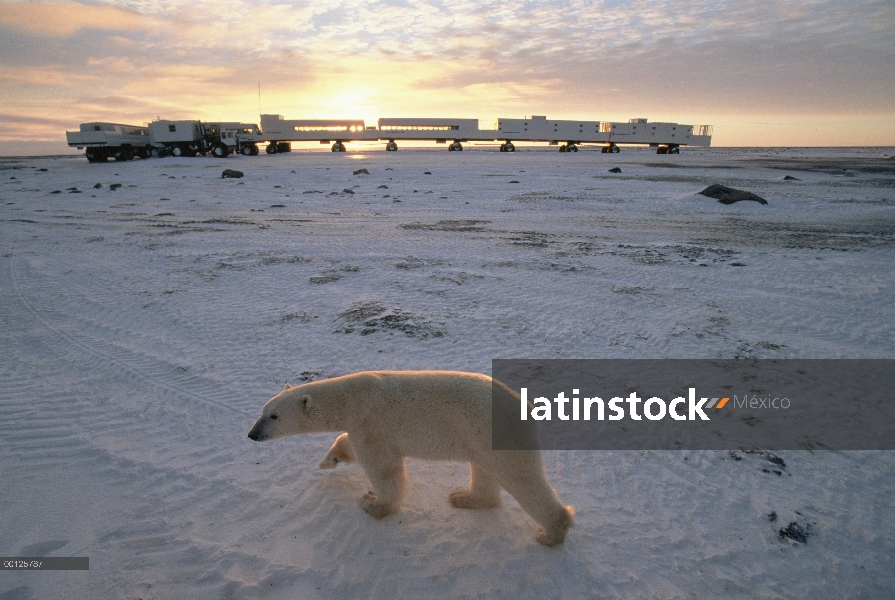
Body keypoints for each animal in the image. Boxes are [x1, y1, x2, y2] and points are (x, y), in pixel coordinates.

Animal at [247, 368, 576, 548]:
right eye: (262, 411)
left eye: (273, 416)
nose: (251, 434)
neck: (352, 396)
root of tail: (527, 407)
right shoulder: (361, 424)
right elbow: (348, 444)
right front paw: (328, 461)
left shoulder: (371, 421)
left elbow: (384, 468)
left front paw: (373, 504)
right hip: (479, 438)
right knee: (484, 470)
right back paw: (464, 497)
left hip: (492, 432)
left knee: (522, 478)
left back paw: (551, 532)